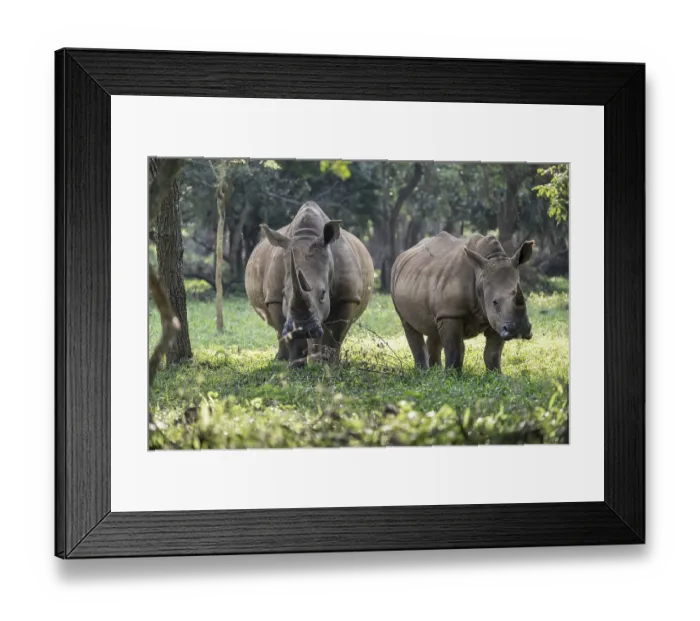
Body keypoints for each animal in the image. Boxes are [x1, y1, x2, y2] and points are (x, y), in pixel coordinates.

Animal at [245, 201, 374, 366]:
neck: (307, 234)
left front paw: (330, 364)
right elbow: (285, 333)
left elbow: (336, 334)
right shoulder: (274, 297)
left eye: (323, 294)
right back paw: (281, 360)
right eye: (284, 294)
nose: (303, 329)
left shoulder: (348, 296)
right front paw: (295, 365)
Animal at [391, 232, 534, 372]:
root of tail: (402, 255)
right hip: (396, 277)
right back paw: (424, 372)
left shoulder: (497, 320)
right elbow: (455, 349)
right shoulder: (451, 314)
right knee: (409, 326)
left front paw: (496, 375)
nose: (519, 330)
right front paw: (451, 375)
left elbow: (493, 352)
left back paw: (434, 371)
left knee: (434, 329)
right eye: (495, 302)